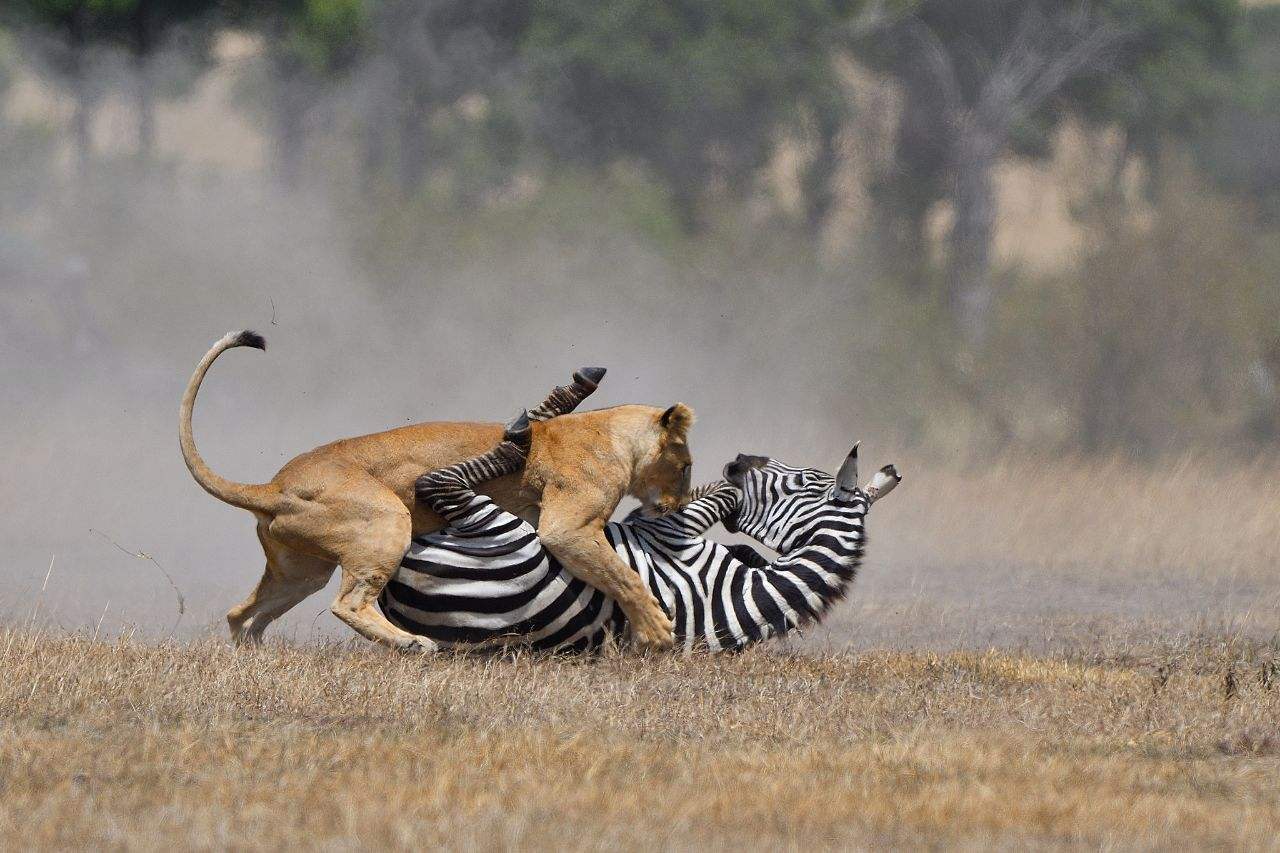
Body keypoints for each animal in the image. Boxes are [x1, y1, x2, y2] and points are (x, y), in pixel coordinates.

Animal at [378, 389, 901, 650]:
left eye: (804, 481)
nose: (737, 459)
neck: (744, 598)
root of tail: (404, 599)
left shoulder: (667, 535)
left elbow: (713, 502)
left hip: (502, 530)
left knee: (440, 482)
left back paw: (528, 429)